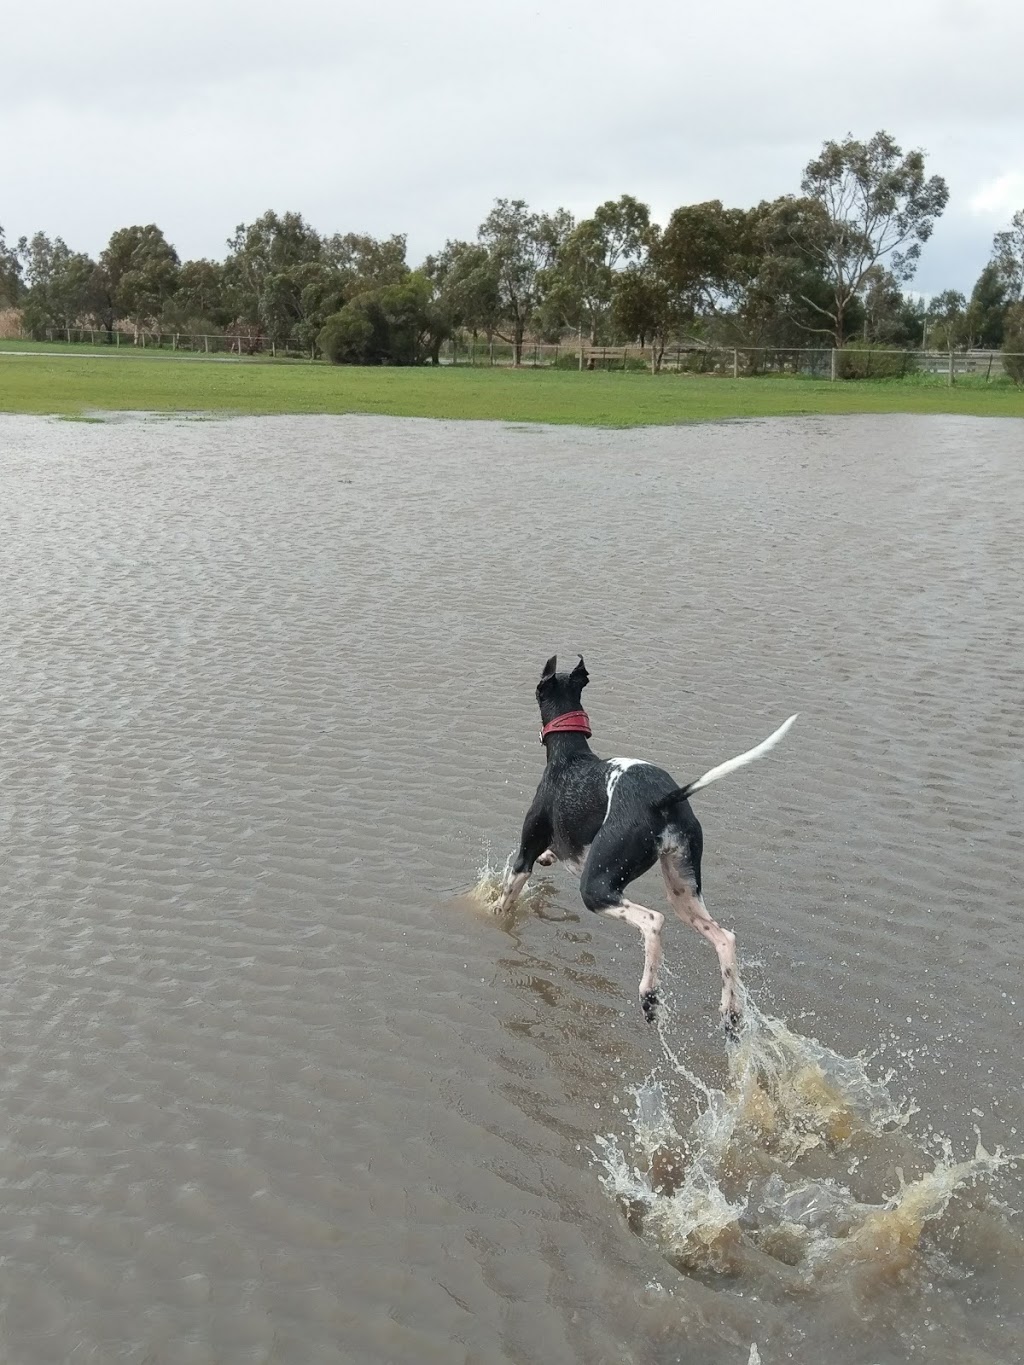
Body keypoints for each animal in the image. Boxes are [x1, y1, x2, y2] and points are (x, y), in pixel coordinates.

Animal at [502, 657, 797, 1031]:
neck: (569, 755)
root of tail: (663, 800)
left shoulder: (524, 854)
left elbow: (505, 895)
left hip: (599, 885)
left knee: (653, 921)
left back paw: (649, 994)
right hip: (684, 892)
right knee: (725, 938)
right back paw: (731, 1011)